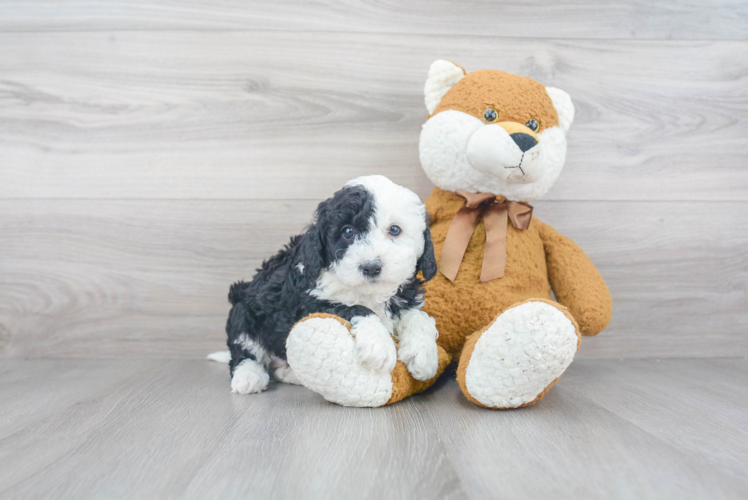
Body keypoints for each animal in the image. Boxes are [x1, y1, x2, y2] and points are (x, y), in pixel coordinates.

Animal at [212, 176, 438, 394]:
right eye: (348, 231)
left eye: (395, 230)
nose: (371, 267)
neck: (368, 293)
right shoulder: (308, 304)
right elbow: (354, 308)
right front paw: (379, 344)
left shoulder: (404, 296)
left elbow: (418, 315)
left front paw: (423, 354)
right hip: (243, 308)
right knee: (244, 347)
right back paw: (248, 376)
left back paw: (289, 373)